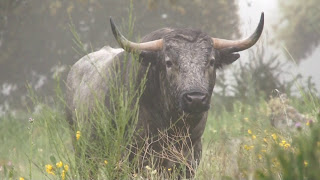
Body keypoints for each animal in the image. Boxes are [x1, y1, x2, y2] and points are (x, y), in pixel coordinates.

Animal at [66, 13, 264, 179]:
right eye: (169, 62)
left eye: (211, 61)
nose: (196, 99)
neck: (172, 124)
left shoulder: (190, 158)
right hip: (83, 152)